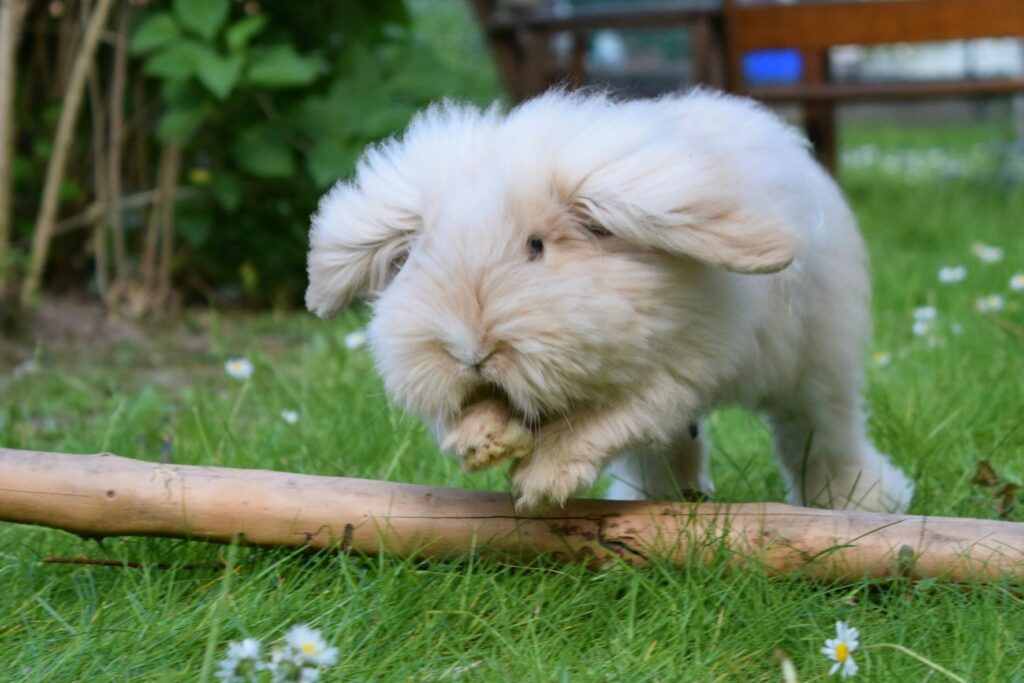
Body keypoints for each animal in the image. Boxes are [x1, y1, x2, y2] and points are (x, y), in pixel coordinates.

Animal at [301, 88, 913, 511]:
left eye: (537, 247)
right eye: (422, 257)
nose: (471, 352)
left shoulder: (673, 375)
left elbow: (604, 423)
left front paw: (542, 482)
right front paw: (482, 442)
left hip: (816, 369)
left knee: (821, 435)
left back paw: (859, 503)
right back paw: (674, 499)